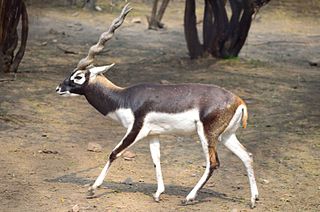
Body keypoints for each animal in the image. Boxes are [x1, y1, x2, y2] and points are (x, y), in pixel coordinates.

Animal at [56, 4, 258, 209]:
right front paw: (158, 193)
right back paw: (253, 200)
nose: (59, 88)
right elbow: (156, 160)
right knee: (247, 156)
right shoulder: (153, 134)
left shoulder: (136, 130)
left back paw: (189, 197)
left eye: (78, 76)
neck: (124, 98)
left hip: (207, 135)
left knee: (213, 163)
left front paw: (92, 188)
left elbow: (114, 153)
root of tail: (239, 101)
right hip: (226, 135)